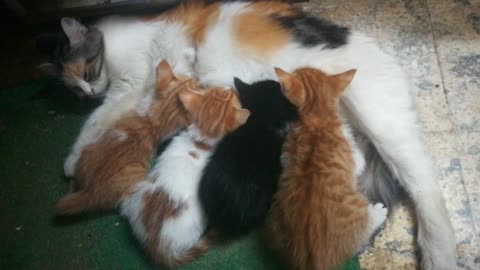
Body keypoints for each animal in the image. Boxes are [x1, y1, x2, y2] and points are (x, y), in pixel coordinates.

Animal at [268, 66, 388, 270]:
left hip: (275, 219)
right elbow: (361, 162)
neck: (315, 117)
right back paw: (378, 212)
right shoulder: (352, 152)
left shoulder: (286, 152)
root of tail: (315, 261)